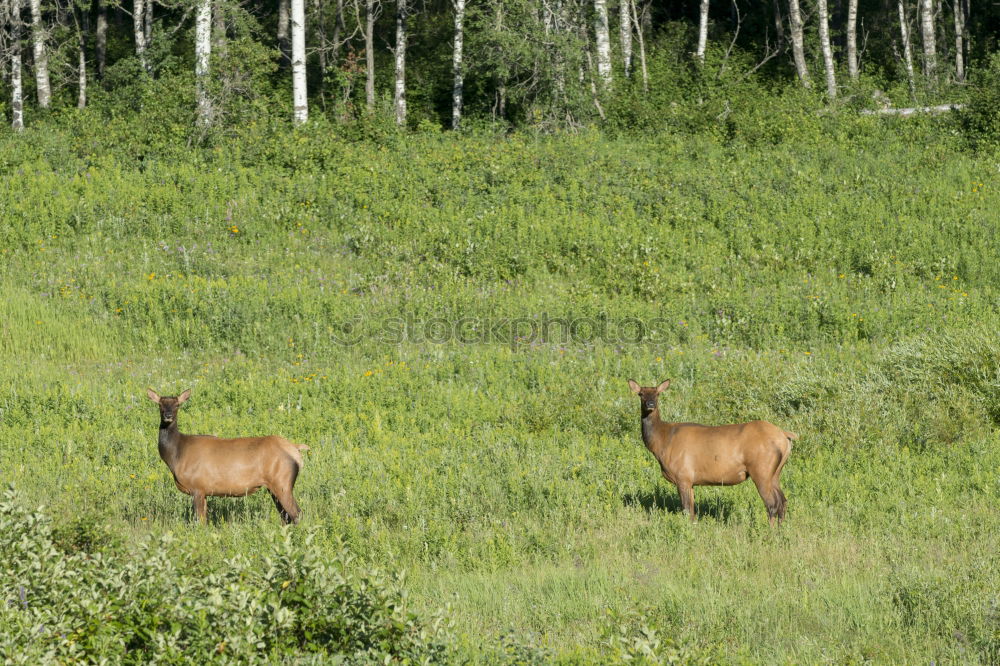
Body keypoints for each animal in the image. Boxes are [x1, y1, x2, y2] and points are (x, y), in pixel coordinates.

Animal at [146, 390, 308, 524]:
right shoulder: (204, 491)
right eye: (160, 404)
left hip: (282, 482)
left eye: (177, 404)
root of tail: (295, 449)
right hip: (274, 486)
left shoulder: (197, 486)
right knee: (286, 516)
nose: (168, 416)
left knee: (297, 514)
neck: (176, 456)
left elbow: (200, 521)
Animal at [624, 378, 796, 524]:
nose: (650, 404)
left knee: (772, 504)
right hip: (775, 472)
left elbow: (687, 511)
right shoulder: (690, 481)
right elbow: (692, 512)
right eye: (641, 394)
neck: (662, 442)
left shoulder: (683, 475)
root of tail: (784, 435)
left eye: (657, 393)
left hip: (761, 469)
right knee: (783, 501)